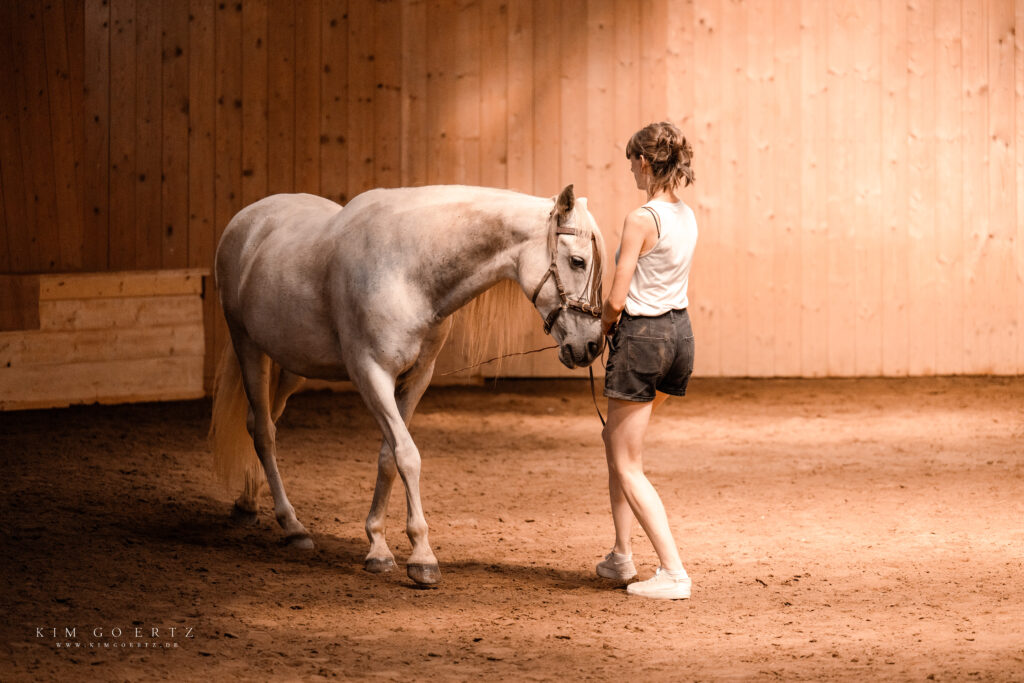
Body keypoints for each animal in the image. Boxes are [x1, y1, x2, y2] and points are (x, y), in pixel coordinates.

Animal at [210, 184, 602, 585]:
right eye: (577, 261)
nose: (591, 345)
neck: (410, 270)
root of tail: (247, 219)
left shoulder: (416, 378)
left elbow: (388, 457)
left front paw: (378, 546)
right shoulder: (371, 374)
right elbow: (407, 455)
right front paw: (421, 557)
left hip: (292, 365)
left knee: (261, 423)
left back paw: (248, 503)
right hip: (248, 347)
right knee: (263, 432)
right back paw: (292, 526)